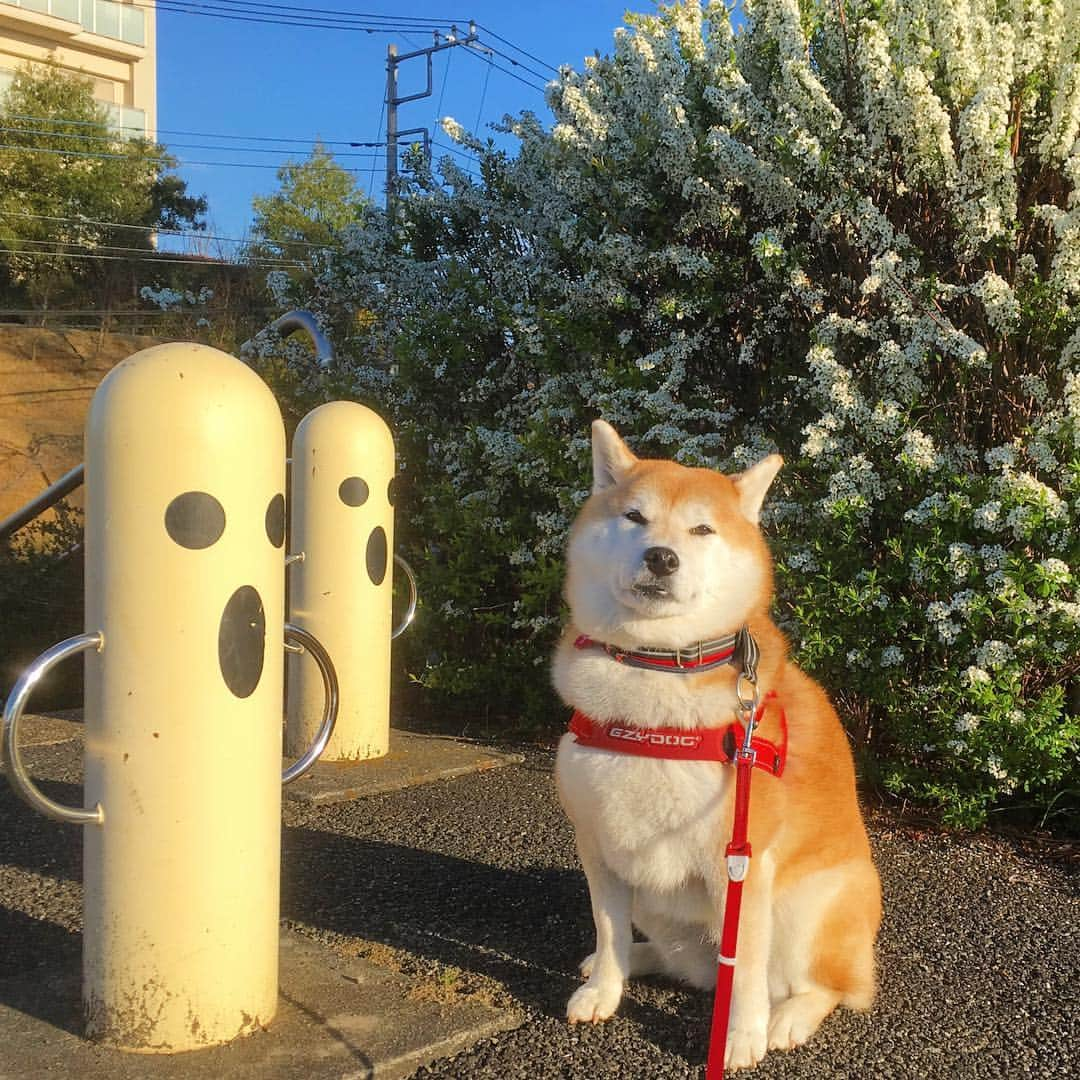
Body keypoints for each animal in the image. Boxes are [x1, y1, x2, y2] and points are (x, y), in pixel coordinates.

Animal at [552, 421, 881, 1071]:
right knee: (686, 964)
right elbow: (607, 925)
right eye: (634, 516)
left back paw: (787, 1019)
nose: (661, 556)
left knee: (822, 987)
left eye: (702, 529)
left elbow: (746, 968)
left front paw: (741, 1036)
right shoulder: (598, 846)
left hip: (806, 908)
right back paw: (625, 962)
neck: (657, 669)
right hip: (658, 903)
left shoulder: (743, 865)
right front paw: (604, 987)